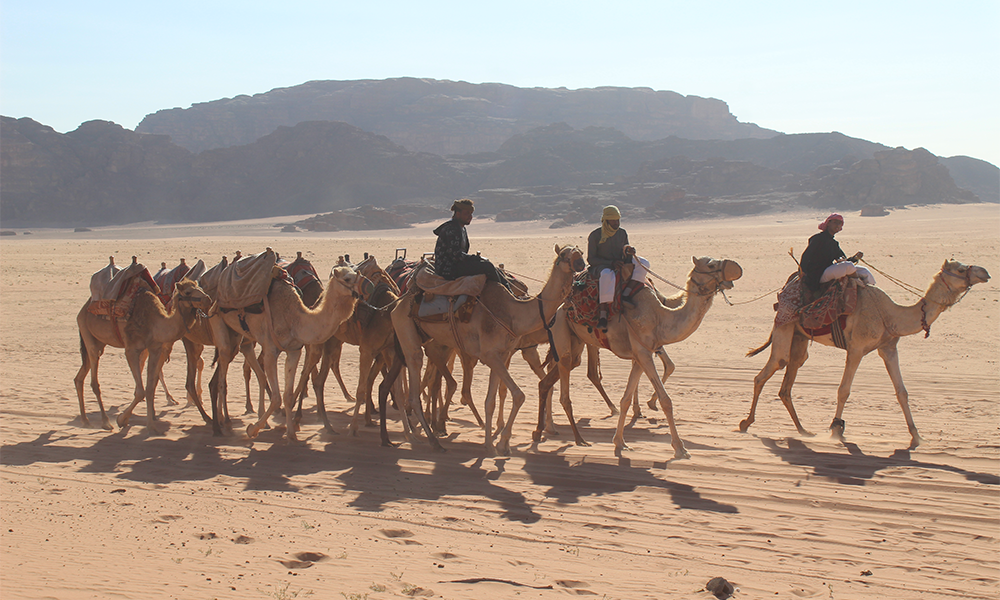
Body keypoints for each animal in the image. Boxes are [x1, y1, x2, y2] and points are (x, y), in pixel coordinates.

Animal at [73, 278, 215, 434]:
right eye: (188, 292)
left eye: (200, 288)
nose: (208, 299)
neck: (155, 322)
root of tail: (83, 309)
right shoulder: (131, 349)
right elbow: (140, 391)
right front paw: (122, 420)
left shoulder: (155, 348)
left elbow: (150, 387)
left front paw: (151, 424)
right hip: (87, 333)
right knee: (94, 378)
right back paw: (105, 422)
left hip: (99, 342)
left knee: (79, 377)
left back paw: (85, 420)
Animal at [217, 264, 366, 442]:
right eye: (347, 278)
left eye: (358, 273)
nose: (364, 289)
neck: (295, 319)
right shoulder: (270, 350)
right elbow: (276, 398)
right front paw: (252, 429)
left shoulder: (294, 350)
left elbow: (287, 395)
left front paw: (291, 434)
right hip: (218, 319)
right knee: (224, 364)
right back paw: (223, 423)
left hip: (243, 333)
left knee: (247, 353)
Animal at [390, 244, 584, 454]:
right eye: (564, 254)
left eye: (580, 251)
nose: (581, 263)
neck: (513, 314)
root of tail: (398, 302)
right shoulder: (490, 354)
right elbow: (519, 395)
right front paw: (502, 443)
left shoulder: (502, 354)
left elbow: (490, 401)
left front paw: (491, 445)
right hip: (407, 330)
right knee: (414, 385)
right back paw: (432, 440)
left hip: (424, 338)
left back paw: (413, 434)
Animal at [540, 255, 744, 458]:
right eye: (711, 264)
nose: (734, 274)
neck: (660, 316)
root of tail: (557, 306)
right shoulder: (643, 353)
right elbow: (666, 400)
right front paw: (680, 448)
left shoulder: (641, 355)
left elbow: (625, 399)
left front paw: (620, 442)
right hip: (562, 333)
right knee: (562, 378)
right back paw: (564, 434)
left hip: (576, 341)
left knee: (551, 375)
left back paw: (548, 428)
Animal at [740, 256, 988, 446]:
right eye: (961, 269)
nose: (985, 272)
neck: (889, 313)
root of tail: (785, 289)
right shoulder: (857, 348)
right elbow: (843, 390)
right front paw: (835, 430)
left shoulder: (888, 348)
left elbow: (902, 392)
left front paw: (917, 436)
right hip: (784, 326)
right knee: (769, 369)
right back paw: (746, 423)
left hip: (800, 337)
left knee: (788, 380)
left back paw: (803, 430)